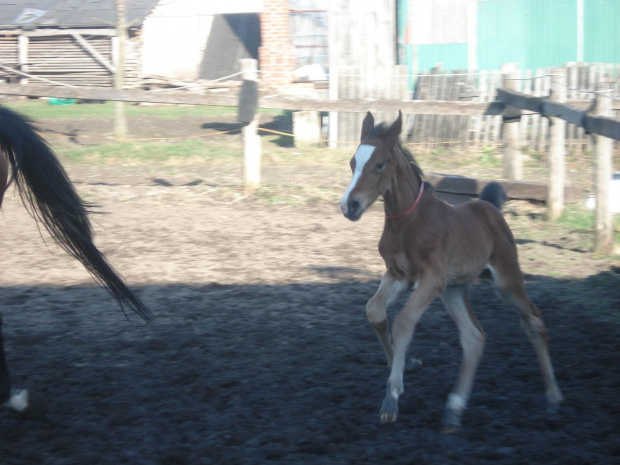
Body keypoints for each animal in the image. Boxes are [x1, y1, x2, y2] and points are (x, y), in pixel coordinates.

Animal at [340, 110, 560, 430]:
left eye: (379, 164)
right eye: (352, 163)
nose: (350, 206)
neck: (408, 222)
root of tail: (492, 209)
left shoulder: (431, 279)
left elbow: (404, 321)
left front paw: (392, 397)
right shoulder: (399, 275)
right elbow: (375, 310)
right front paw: (407, 365)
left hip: (505, 280)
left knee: (533, 320)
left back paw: (554, 398)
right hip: (454, 290)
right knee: (474, 336)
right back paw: (454, 409)